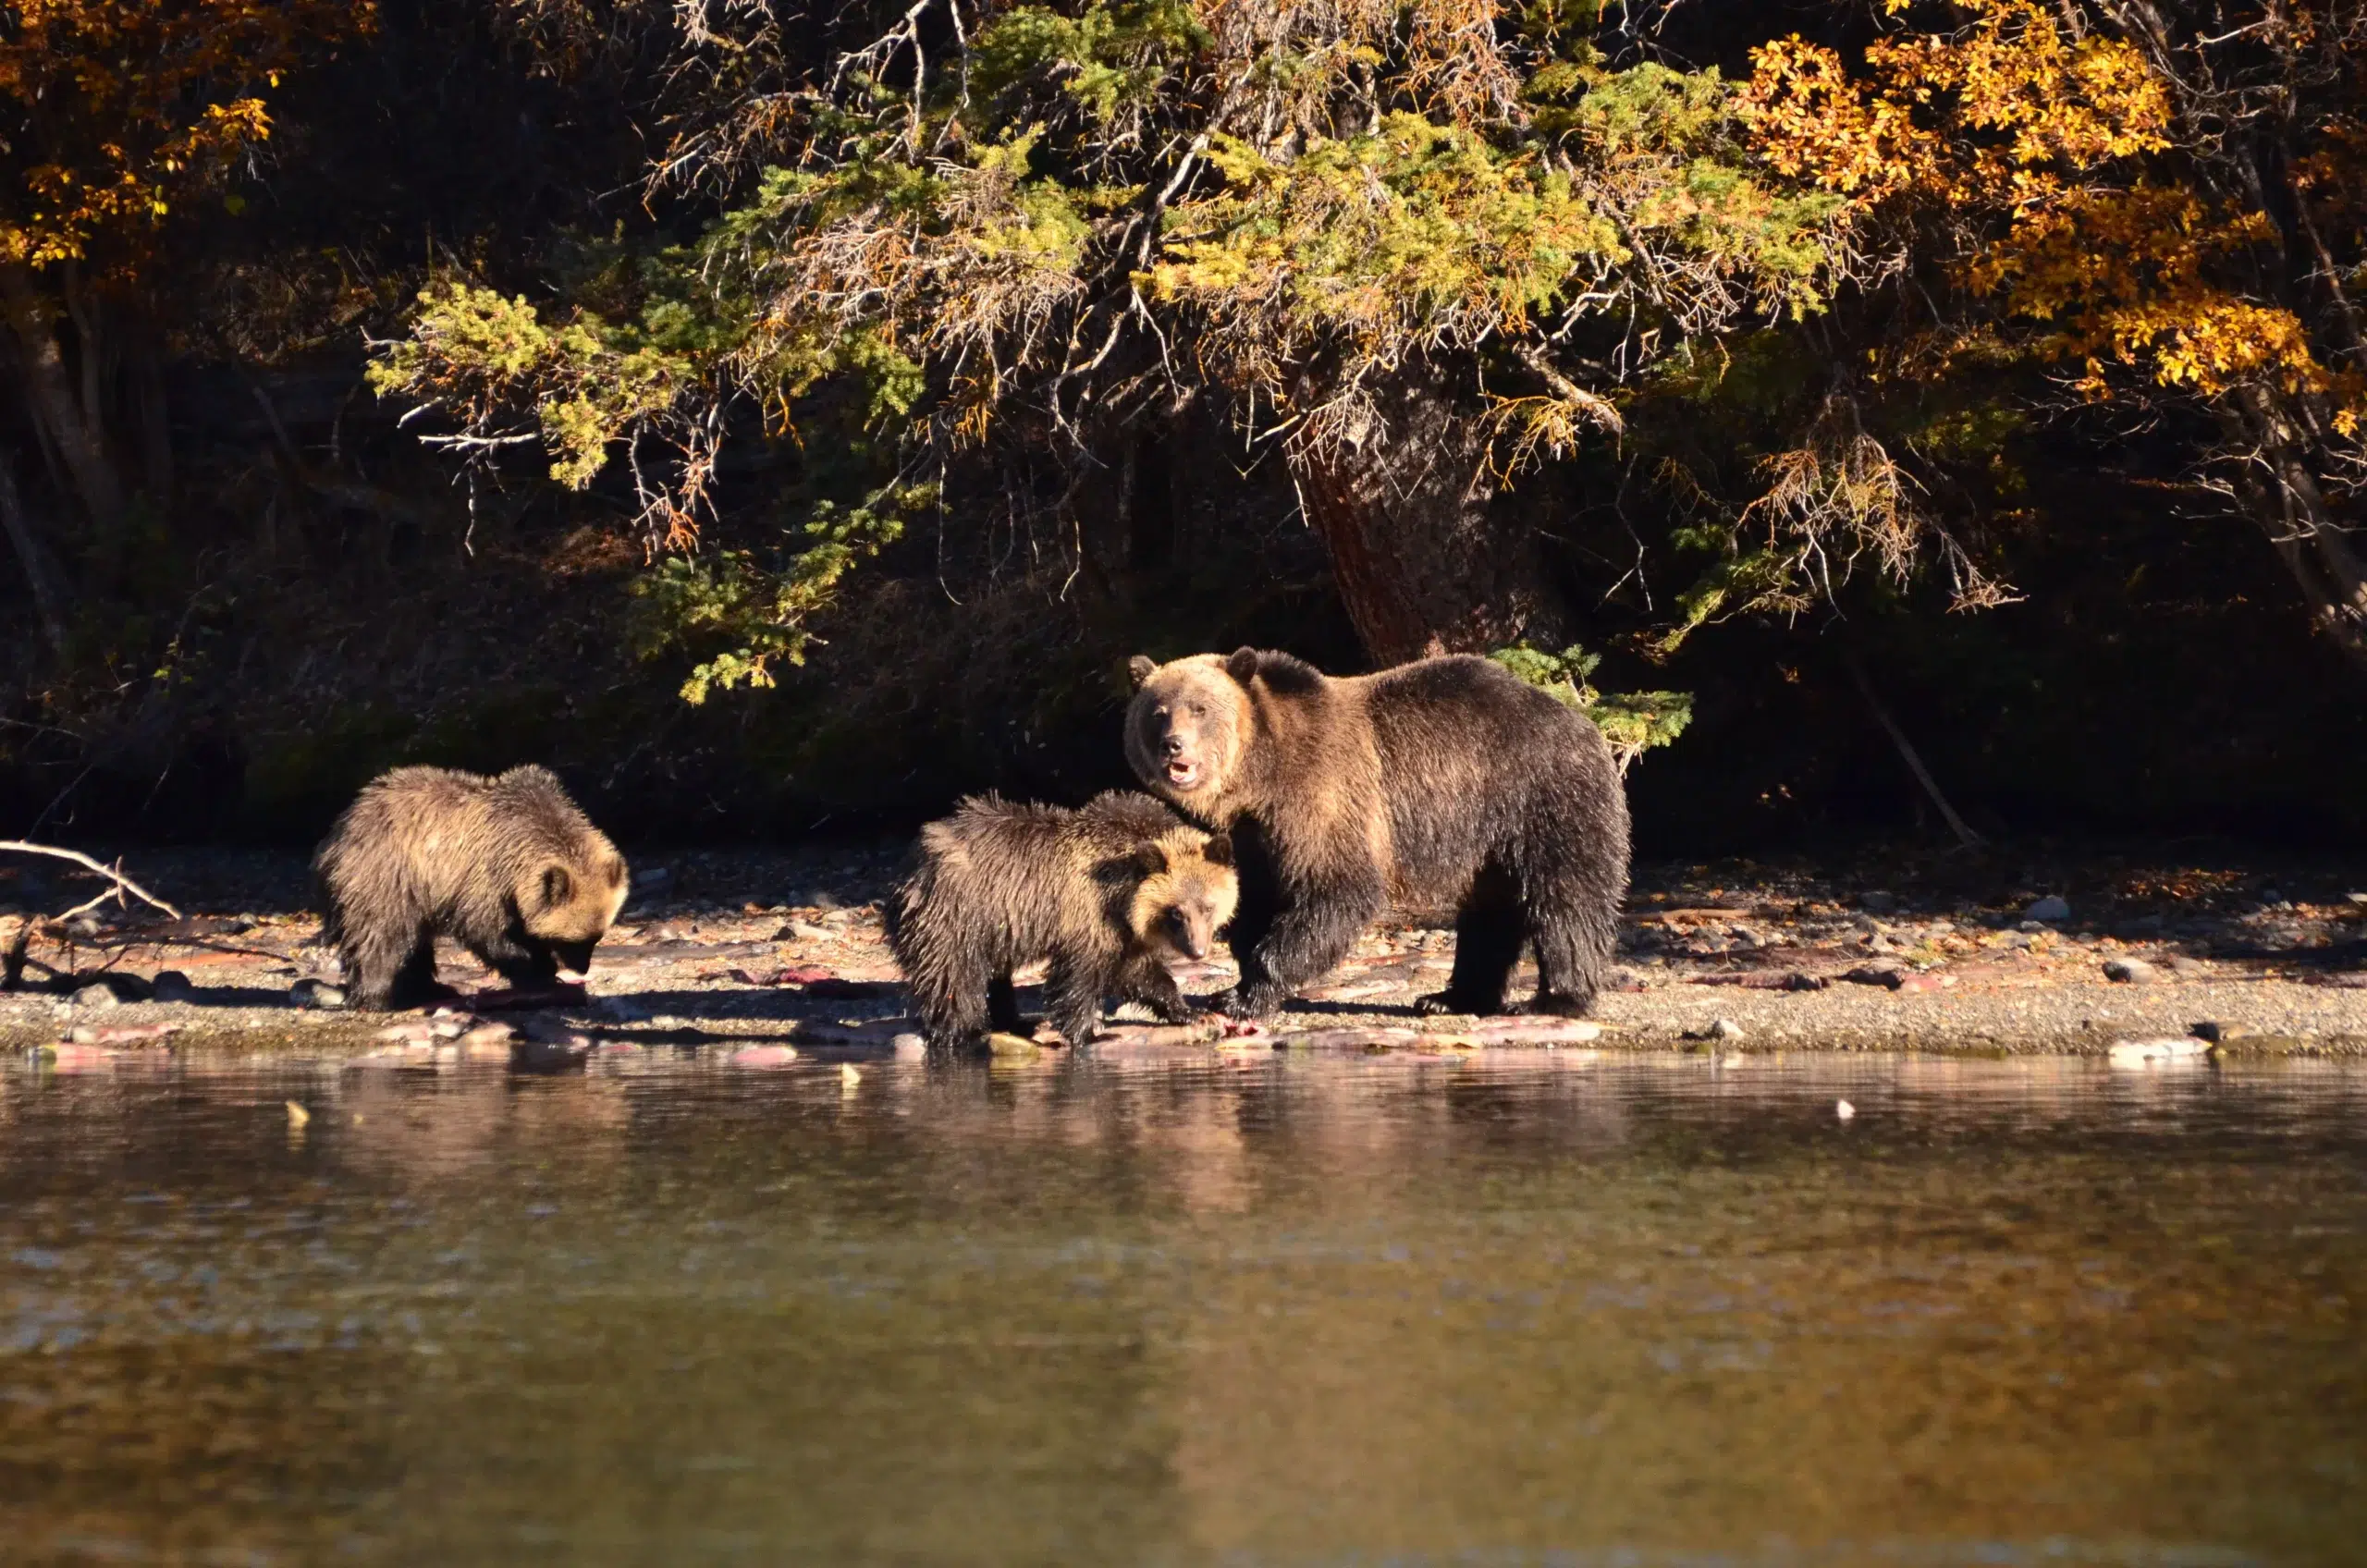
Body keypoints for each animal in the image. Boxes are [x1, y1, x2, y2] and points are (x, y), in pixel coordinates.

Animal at [313, 765, 631, 1010]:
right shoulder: (482, 878)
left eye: (597, 937)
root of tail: (339, 829)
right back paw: (376, 996)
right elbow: (488, 932)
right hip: (386, 878)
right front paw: (540, 968)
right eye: (573, 940)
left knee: (415, 942)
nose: (582, 967)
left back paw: (428, 988)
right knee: (380, 937)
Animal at [885, 790, 1238, 1051]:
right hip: (955, 914)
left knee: (994, 975)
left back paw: (1016, 1021)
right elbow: (1078, 978)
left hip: (991, 927)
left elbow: (1140, 973)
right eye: (1177, 912)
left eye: (1207, 907)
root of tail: (908, 863)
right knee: (953, 977)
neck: (1123, 896)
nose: (1197, 951)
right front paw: (1091, 1033)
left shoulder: (1121, 930)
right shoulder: (1087, 915)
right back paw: (964, 1032)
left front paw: (1193, 1012)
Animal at [1124, 647, 1628, 1020]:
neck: (1260, 777)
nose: (1174, 746)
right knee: (1492, 912)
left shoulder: (1323, 794)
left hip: (1540, 797)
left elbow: (1338, 889)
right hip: (1489, 837)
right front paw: (1242, 979)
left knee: (1565, 898)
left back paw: (1555, 998)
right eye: (1158, 712)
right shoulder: (1254, 835)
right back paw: (1449, 998)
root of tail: (1584, 722)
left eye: (1200, 708)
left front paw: (1240, 996)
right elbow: (1254, 901)